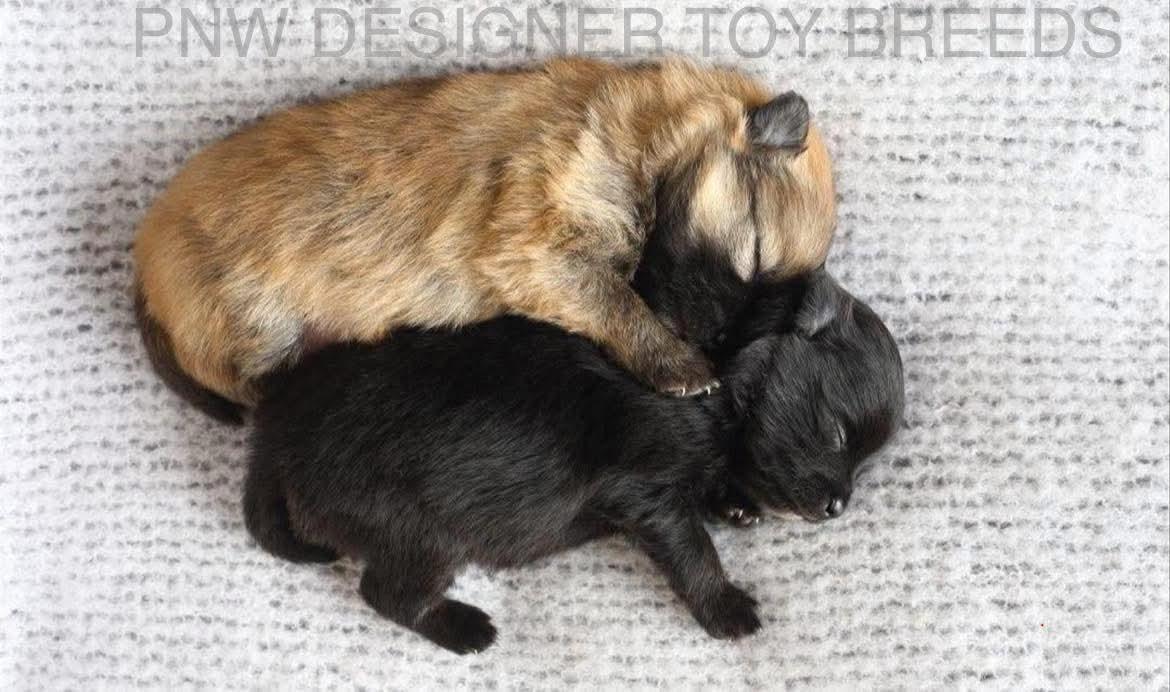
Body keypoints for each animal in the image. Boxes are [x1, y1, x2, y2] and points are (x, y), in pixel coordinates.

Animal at [134, 57, 837, 422]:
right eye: (752, 250)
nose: (714, 339)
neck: (645, 136)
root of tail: (144, 256)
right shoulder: (542, 252)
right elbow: (620, 304)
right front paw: (681, 367)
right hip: (255, 321)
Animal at [242, 269, 903, 653]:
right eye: (838, 432)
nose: (839, 506)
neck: (722, 374)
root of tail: (272, 440)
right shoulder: (647, 489)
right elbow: (693, 550)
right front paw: (727, 608)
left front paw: (735, 504)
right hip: (419, 532)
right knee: (386, 593)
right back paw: (466, 629)